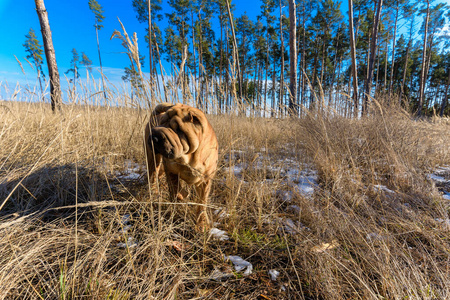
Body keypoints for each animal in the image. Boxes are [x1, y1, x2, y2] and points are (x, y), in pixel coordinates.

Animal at [145, 102, 219, 231]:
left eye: (177, 129)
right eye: (160, 123)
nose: (154, 135)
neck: (191, 157)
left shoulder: (205, 180)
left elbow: (202, 203)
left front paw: (202, 224)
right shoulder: (171, 170)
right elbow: (176, 187)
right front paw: (182, 194)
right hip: (153, 159)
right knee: (153, 174)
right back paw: (154, 191)